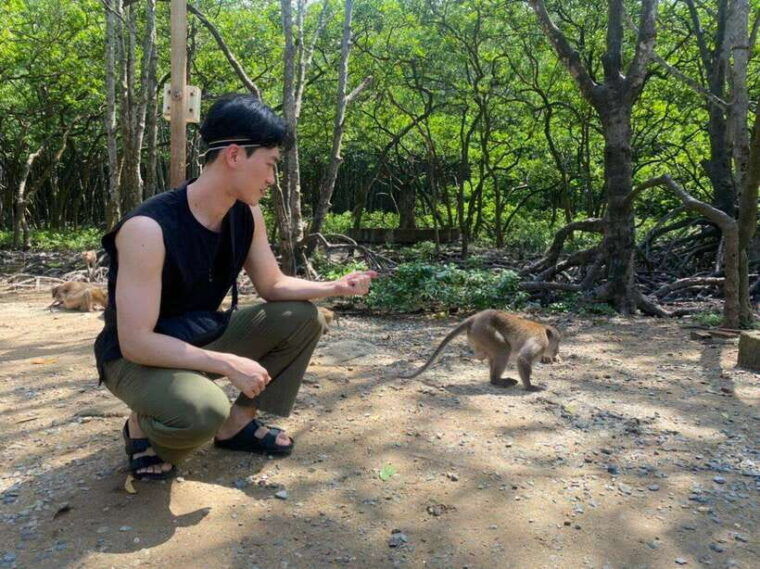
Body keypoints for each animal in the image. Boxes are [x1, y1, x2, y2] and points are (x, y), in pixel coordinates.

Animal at [401, 309, 561, 391]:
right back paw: (496, 380)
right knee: (504, 349)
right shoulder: (540, 341)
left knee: (491, 353)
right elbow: (523, 358)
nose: (557, 351)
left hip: (478, 334)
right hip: (484, 330)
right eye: (558, 341)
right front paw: (530, 386)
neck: (544, 332)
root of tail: (475, 317)